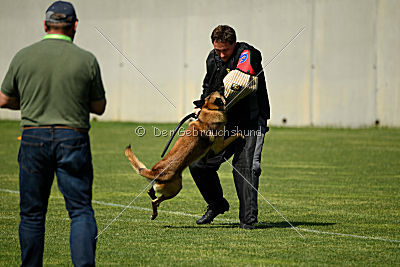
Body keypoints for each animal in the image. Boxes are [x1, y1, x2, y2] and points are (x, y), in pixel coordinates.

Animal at [125, 91, 242, 221]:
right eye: (219, 95)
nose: (222, 89)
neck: (209, 109)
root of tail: (155, 172)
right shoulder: (219, 146)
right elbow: (236, 134)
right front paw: (241, 135)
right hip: (176, 188)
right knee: (155, 201)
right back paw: (154, 213)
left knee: (151, 193)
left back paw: (153, 206)